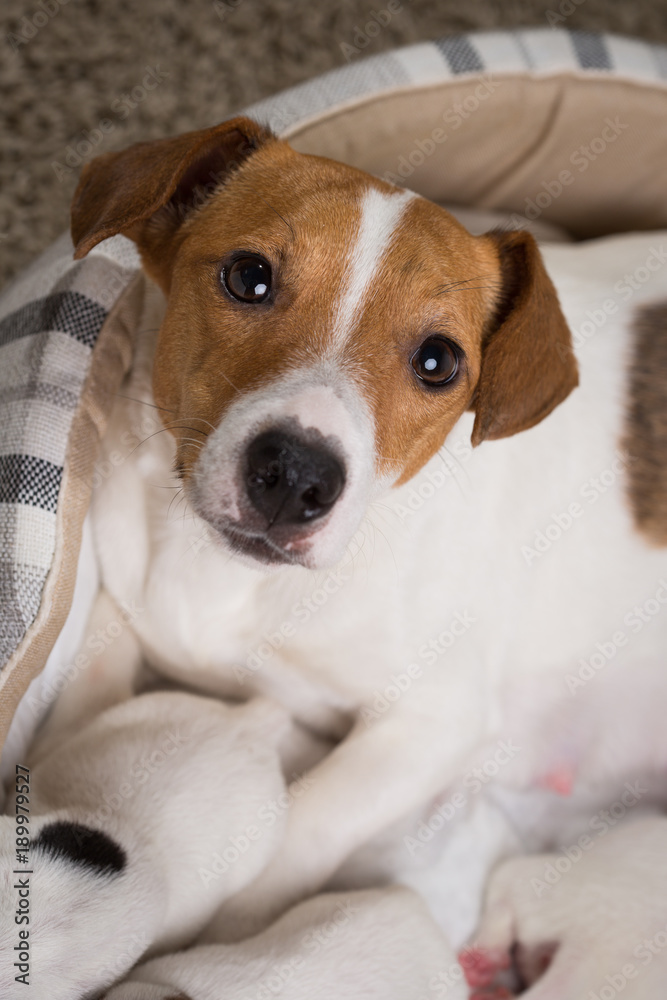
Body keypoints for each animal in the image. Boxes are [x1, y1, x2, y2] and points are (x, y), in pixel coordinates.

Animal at [52, 115, 667, 992]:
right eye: (248, 278)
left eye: (438, 361)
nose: (295, 476)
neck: (234, 582)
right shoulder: (120, 607)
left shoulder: (427, 724)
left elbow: (297, 829)